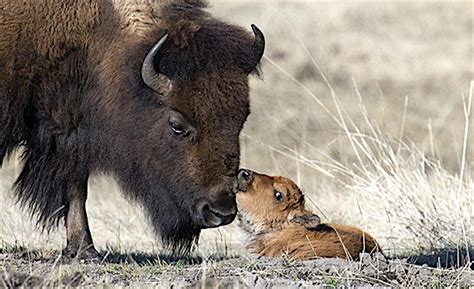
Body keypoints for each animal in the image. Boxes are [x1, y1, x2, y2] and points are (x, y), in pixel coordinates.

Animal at [0, 0, 264, 256]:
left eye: (242, 119)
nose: (221, 211)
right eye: (177, 126)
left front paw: (84, 249)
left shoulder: (72, 130)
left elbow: (76, 187)